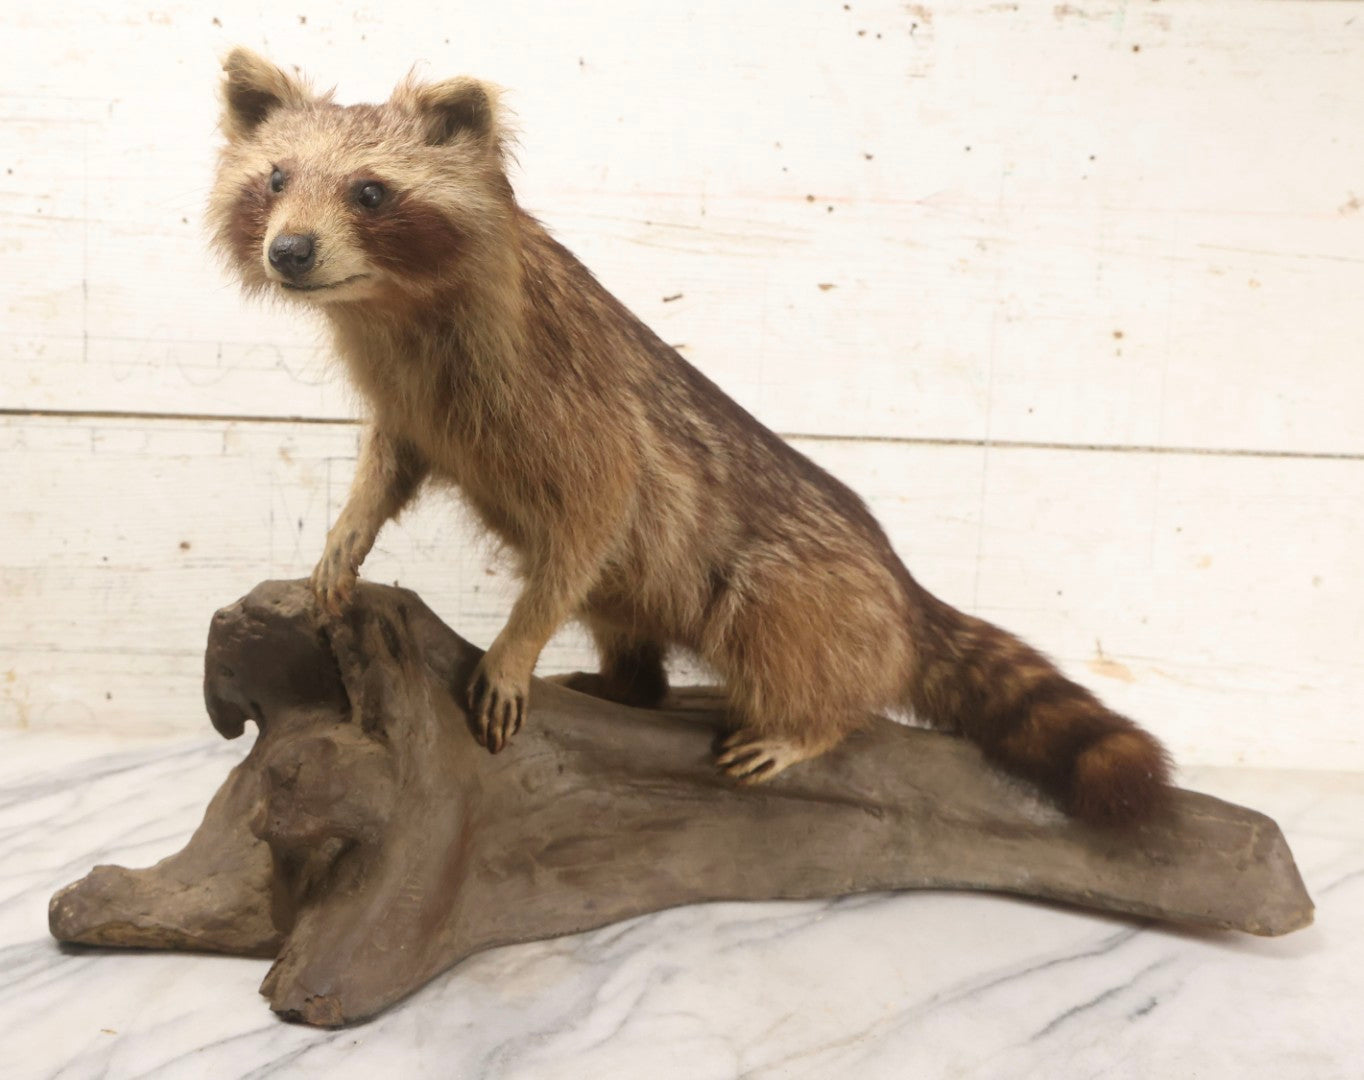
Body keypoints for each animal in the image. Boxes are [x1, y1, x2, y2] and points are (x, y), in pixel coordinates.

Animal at [209, 48, 1172, 825]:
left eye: (370, 191)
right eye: (275, 180)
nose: (289, 251)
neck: (391, 307)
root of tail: (901, 588)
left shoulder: (574, 410)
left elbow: (586, 527)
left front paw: (518, 644)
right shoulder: (413, 403)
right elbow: (389, 467)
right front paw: (347, 533)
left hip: (812, 594)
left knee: (791, 648)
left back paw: (805, 724)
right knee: (626, 628)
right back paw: (626, 683)